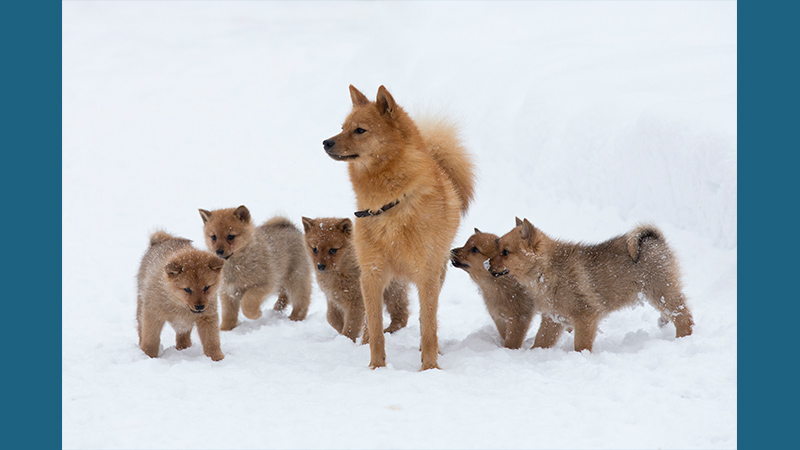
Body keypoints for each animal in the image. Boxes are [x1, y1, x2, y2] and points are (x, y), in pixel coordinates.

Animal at [137, 230, 225, 360]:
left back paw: (184, 348)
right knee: (140, 329)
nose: (200, 306)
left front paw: (217, 358)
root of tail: (161, 240)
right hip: (141, 304)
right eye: (187, 289)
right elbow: (151, 339)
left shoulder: (207, 316)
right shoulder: (153, 314)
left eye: (206, 287)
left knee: (183, 336)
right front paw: (148, 356)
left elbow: (211, 340)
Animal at [324, 84, 476, 370]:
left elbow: (428, 327)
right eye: (342, 127)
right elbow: (375, 328)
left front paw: (430, 368)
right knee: (370, 325)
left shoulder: (426, 275)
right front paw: (376, 367)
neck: (388, 206)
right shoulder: (371, 275)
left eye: (359, 130)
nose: (325, 142)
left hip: (437, 274)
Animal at [488, 218, 692, 352]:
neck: (546, 270)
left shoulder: (585, 315)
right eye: (496, 247)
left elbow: (581, 345)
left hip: (662, 293)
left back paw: (683, 339)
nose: (486, 264)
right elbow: (540, 341)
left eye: (505, 252)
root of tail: (655, 239)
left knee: (684, 317)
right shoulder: (553, 318)